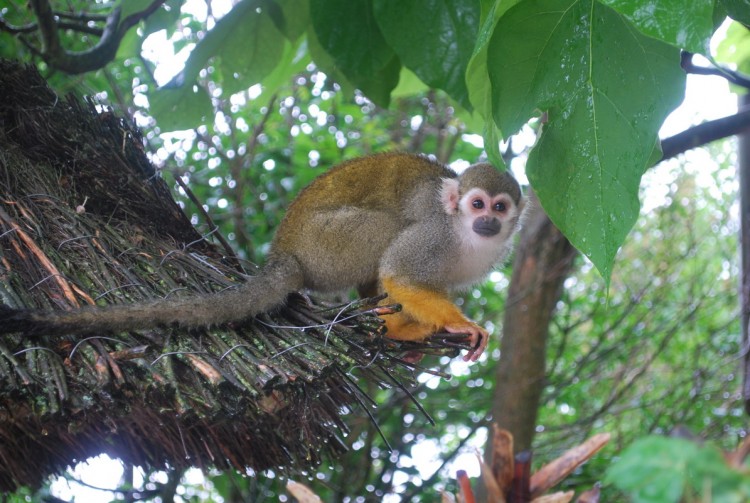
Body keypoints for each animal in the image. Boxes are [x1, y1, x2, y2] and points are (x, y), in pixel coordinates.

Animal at [0, 153, 524, 362]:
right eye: (477, 204)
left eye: (500, 209)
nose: (488, 223)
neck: (464, 238)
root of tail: (283, 251)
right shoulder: (435, 234)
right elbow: (401, 270)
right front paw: (459, 324)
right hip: (326, 245)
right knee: (386, 231)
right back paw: (387, 321)